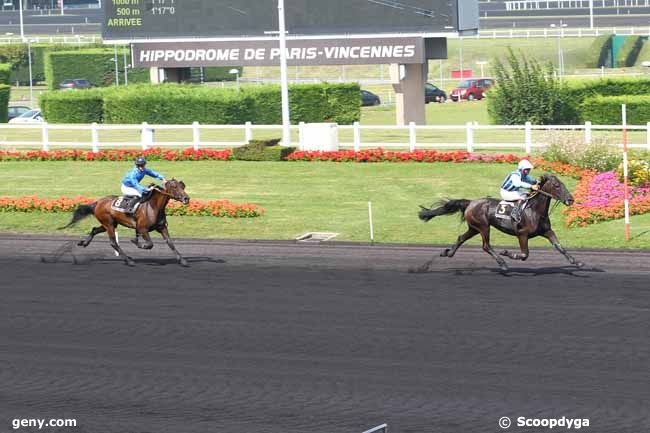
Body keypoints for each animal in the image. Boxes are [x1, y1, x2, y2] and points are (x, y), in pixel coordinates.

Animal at [60, 179, 190, 266]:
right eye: (174, 187)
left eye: (182, 186)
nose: (186, 199)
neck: (152, 206)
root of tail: (97, 202)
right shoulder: (142, 229)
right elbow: (149, 244)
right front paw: (137, 242)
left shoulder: (162, 227)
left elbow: (170, 243)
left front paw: (182, 260)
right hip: (109, 224)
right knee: (113, 242)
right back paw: (129, 260)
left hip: (108, 224)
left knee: (94, 230)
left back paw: (84, 243)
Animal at [416, 174, 584, 272]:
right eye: (557, 186)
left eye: (563, 184)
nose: (570, 200)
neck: (534, 210)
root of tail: (470, 202)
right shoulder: (522, 234)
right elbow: (524, 254)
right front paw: (507, 253)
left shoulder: (546, 231)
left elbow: (559, 247)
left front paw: (577, 262)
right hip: (483, 226)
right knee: (486, 246)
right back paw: (502, 263)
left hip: (474, 227)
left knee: (461, 238)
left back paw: (448, 253)